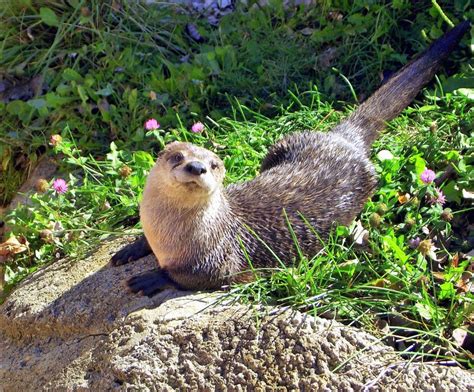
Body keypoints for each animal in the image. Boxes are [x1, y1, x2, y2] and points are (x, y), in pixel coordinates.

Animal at [111, 21, 470, 296]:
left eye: (213, 165)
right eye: (178, 156)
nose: (197, 167)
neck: (168, 237)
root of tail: (342, 139)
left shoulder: (219, 260)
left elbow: (190, 277)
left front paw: (150, 277)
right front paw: (131, 249)